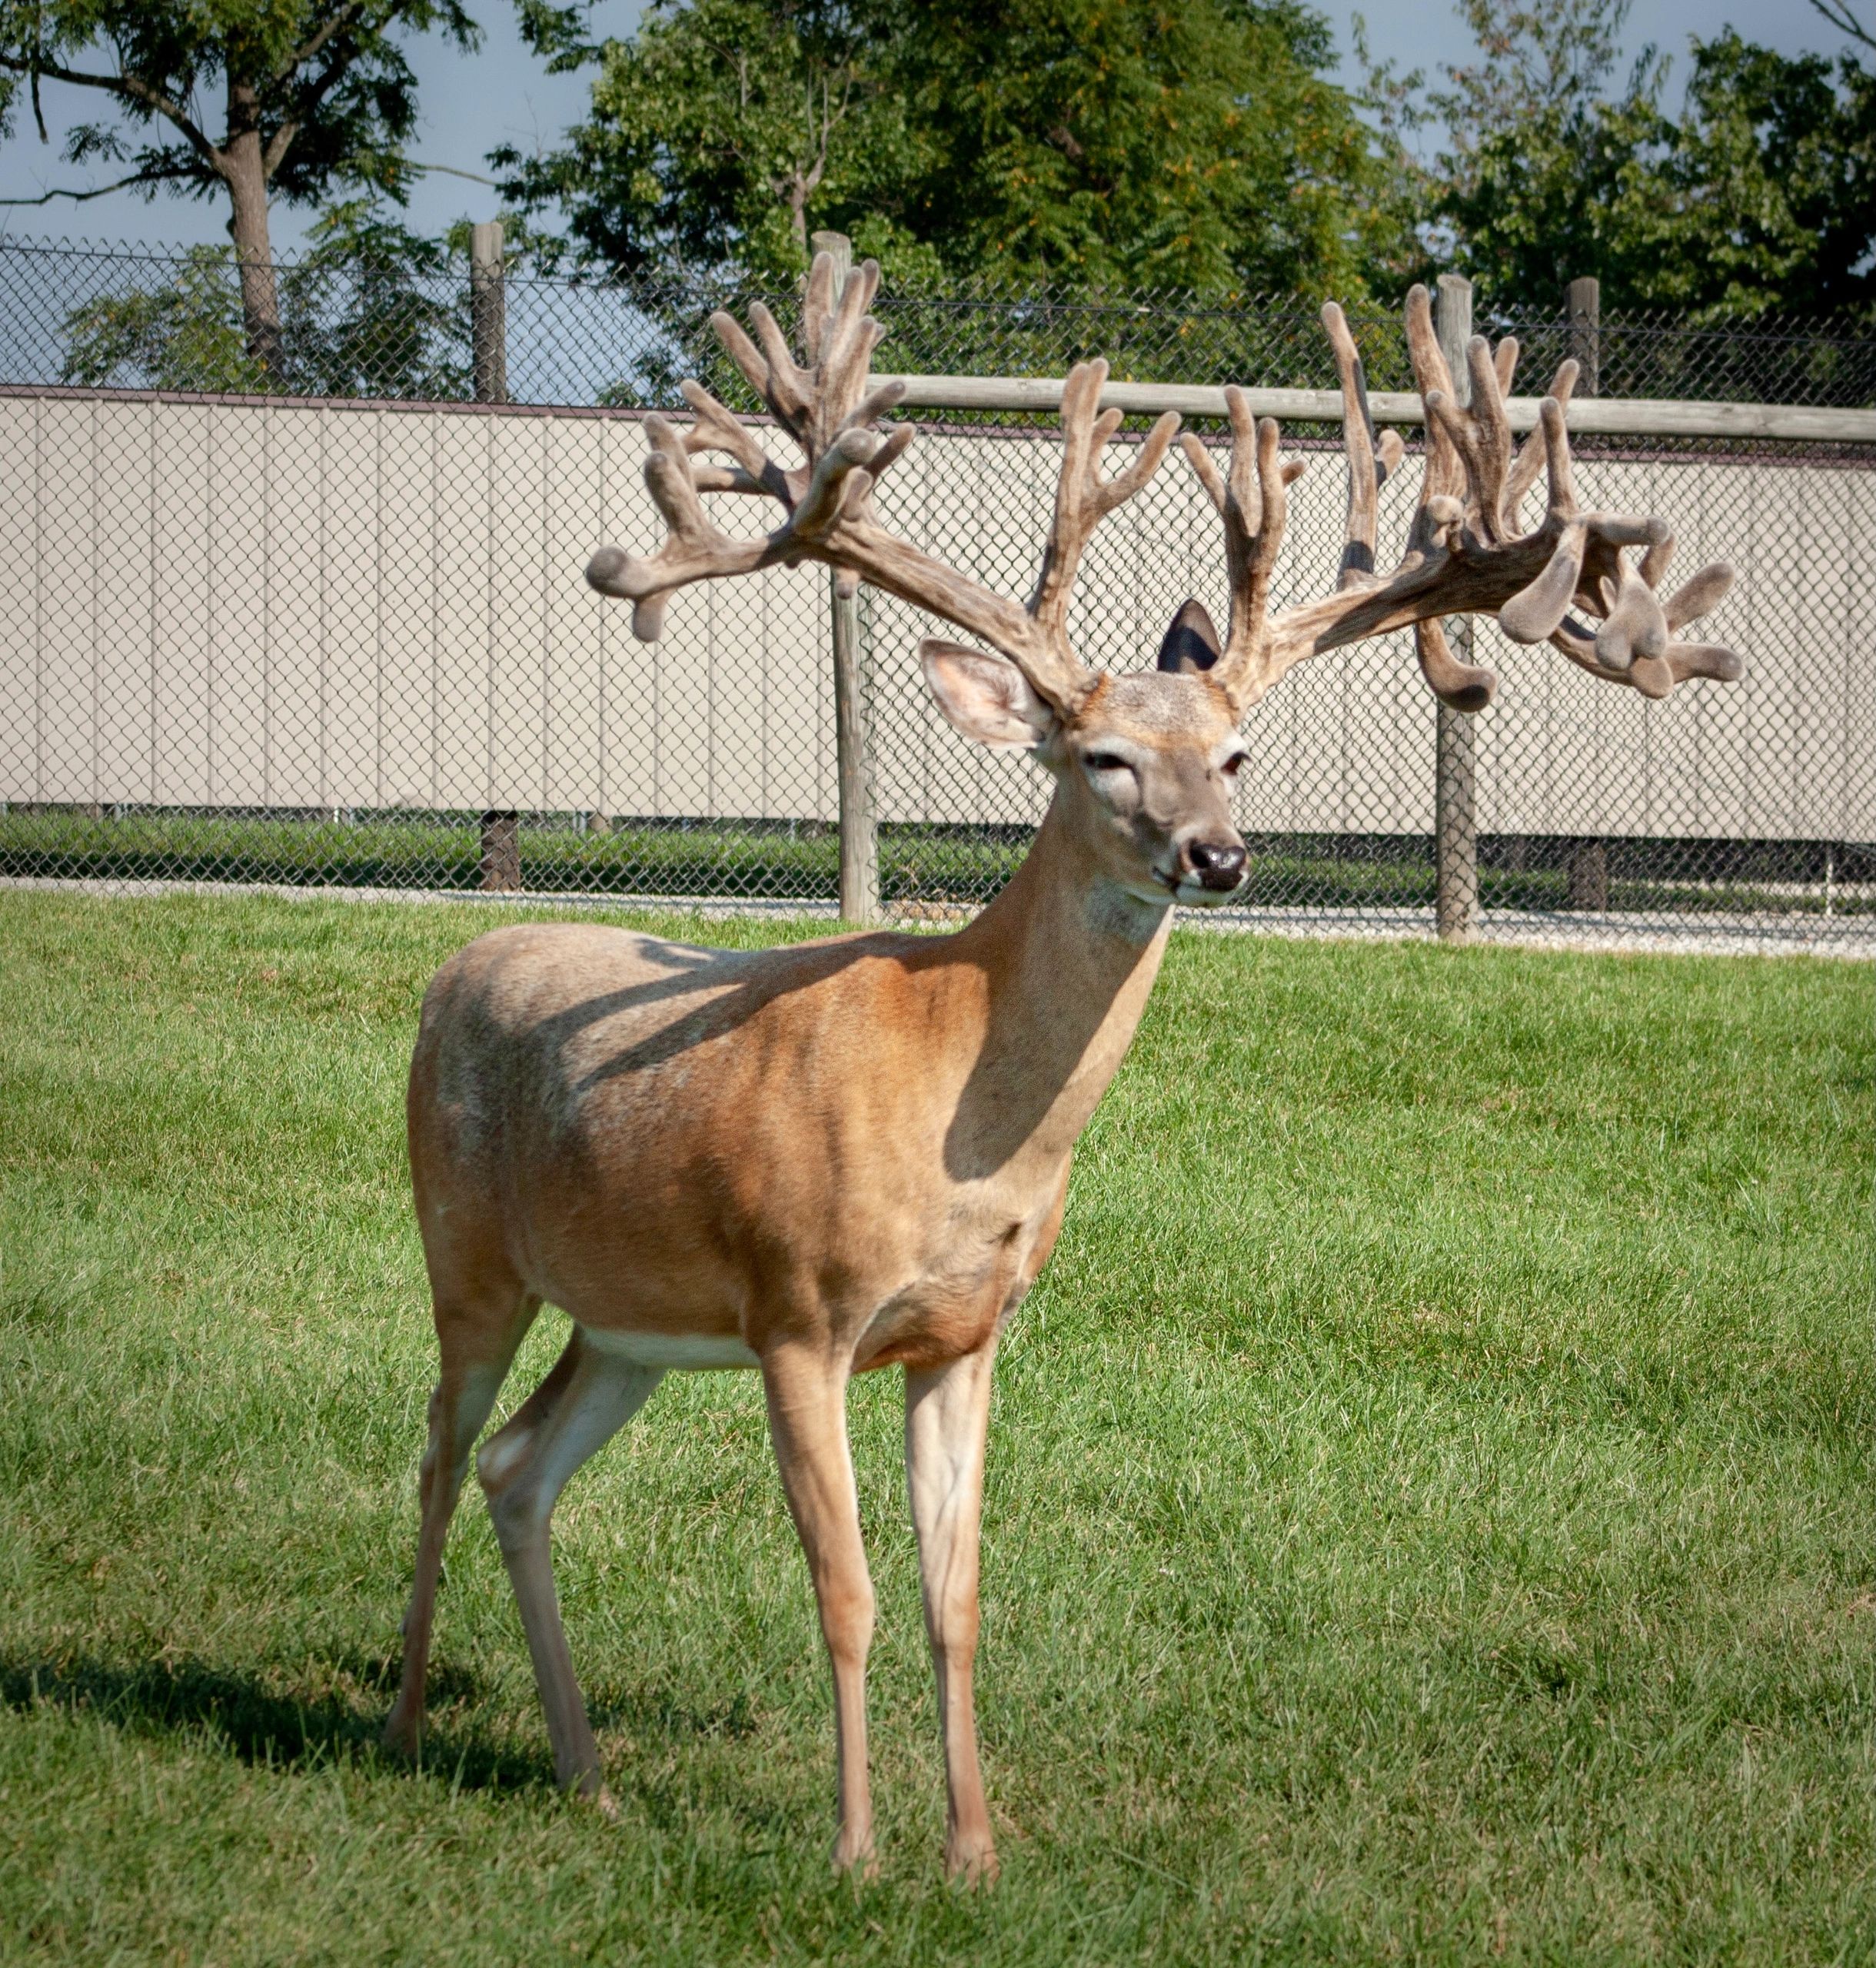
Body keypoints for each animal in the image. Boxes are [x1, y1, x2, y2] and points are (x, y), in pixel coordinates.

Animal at [380, 254, 1740, 1881]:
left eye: (1237, 754)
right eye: (1101, 756)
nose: (1216, 854)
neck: (963, 1107)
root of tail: (456, 964)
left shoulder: (967, 1334)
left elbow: (956, 1595)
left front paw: (972, 1851)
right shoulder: (797, 1309)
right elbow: (846, 1591)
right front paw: (857, 1854)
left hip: (628, 1321)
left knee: (522, 1468)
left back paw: (586, 1774)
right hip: (466, 1248)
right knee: (440, 1449)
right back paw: (400, 1720)